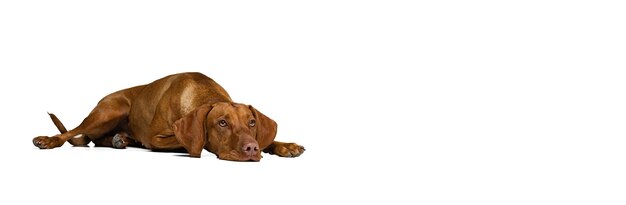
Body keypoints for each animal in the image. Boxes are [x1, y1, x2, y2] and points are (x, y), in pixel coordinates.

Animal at [33, 71, 304, 161]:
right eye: (222, 123)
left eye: (251, 122)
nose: (251, 149)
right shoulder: (156, 138)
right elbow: (189, 140)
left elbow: (269, 140)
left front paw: (285, 145)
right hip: (109, 110)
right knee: (75, 132)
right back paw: (48, 140)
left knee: (97, 139)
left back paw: (120, 139)